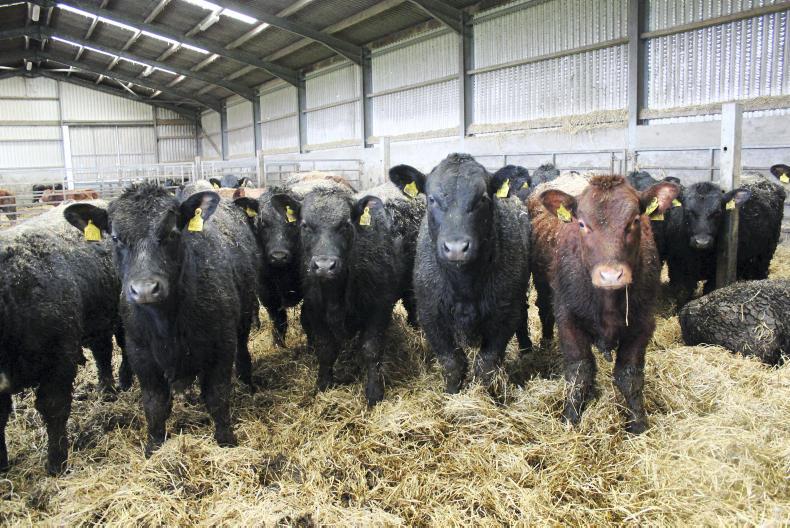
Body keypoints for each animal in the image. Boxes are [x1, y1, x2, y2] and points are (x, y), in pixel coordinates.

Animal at [64, 183, 260, 456]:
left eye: (172, 232)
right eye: (115, 238)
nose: (145, 289)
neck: (167, 324)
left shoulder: (221, 346)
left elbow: (217, 397)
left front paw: (226, 440)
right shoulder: (141, 354)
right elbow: (155, 405)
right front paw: (154, 447)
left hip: (243, 318)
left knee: (242, 351)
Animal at [269, 181, 420, 405]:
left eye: (346, 225)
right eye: (304, 225)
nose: (324, 266)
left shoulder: (379, 308)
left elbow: (370, 350)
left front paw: (374, 393)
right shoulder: (314, 309)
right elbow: (325, 350)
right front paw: (323, 385)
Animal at [394, 154, 531, 394]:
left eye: (483, 198)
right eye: (431, 199)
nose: (456, 248)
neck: (464, 286)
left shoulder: (504, 315)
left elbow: (486, 364)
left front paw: (486, 396)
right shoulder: (430, 315)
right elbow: (452, 363)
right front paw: (452, 394)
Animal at [539, 175, 679, 433]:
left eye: (635, 220)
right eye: (582, 224)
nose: (611, 275)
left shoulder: (642, 323)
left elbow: (629, 375)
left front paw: (638, 422)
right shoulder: (567, 320)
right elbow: (579, 371)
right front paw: (570, 417)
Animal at [663, 177, 785, 307]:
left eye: (717, 212)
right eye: (688, 212)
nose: (702, 242)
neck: (701, 256)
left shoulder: (715, 275)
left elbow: (708, 291)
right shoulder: (679, 270)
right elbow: (682, 294)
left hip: (763, 256)